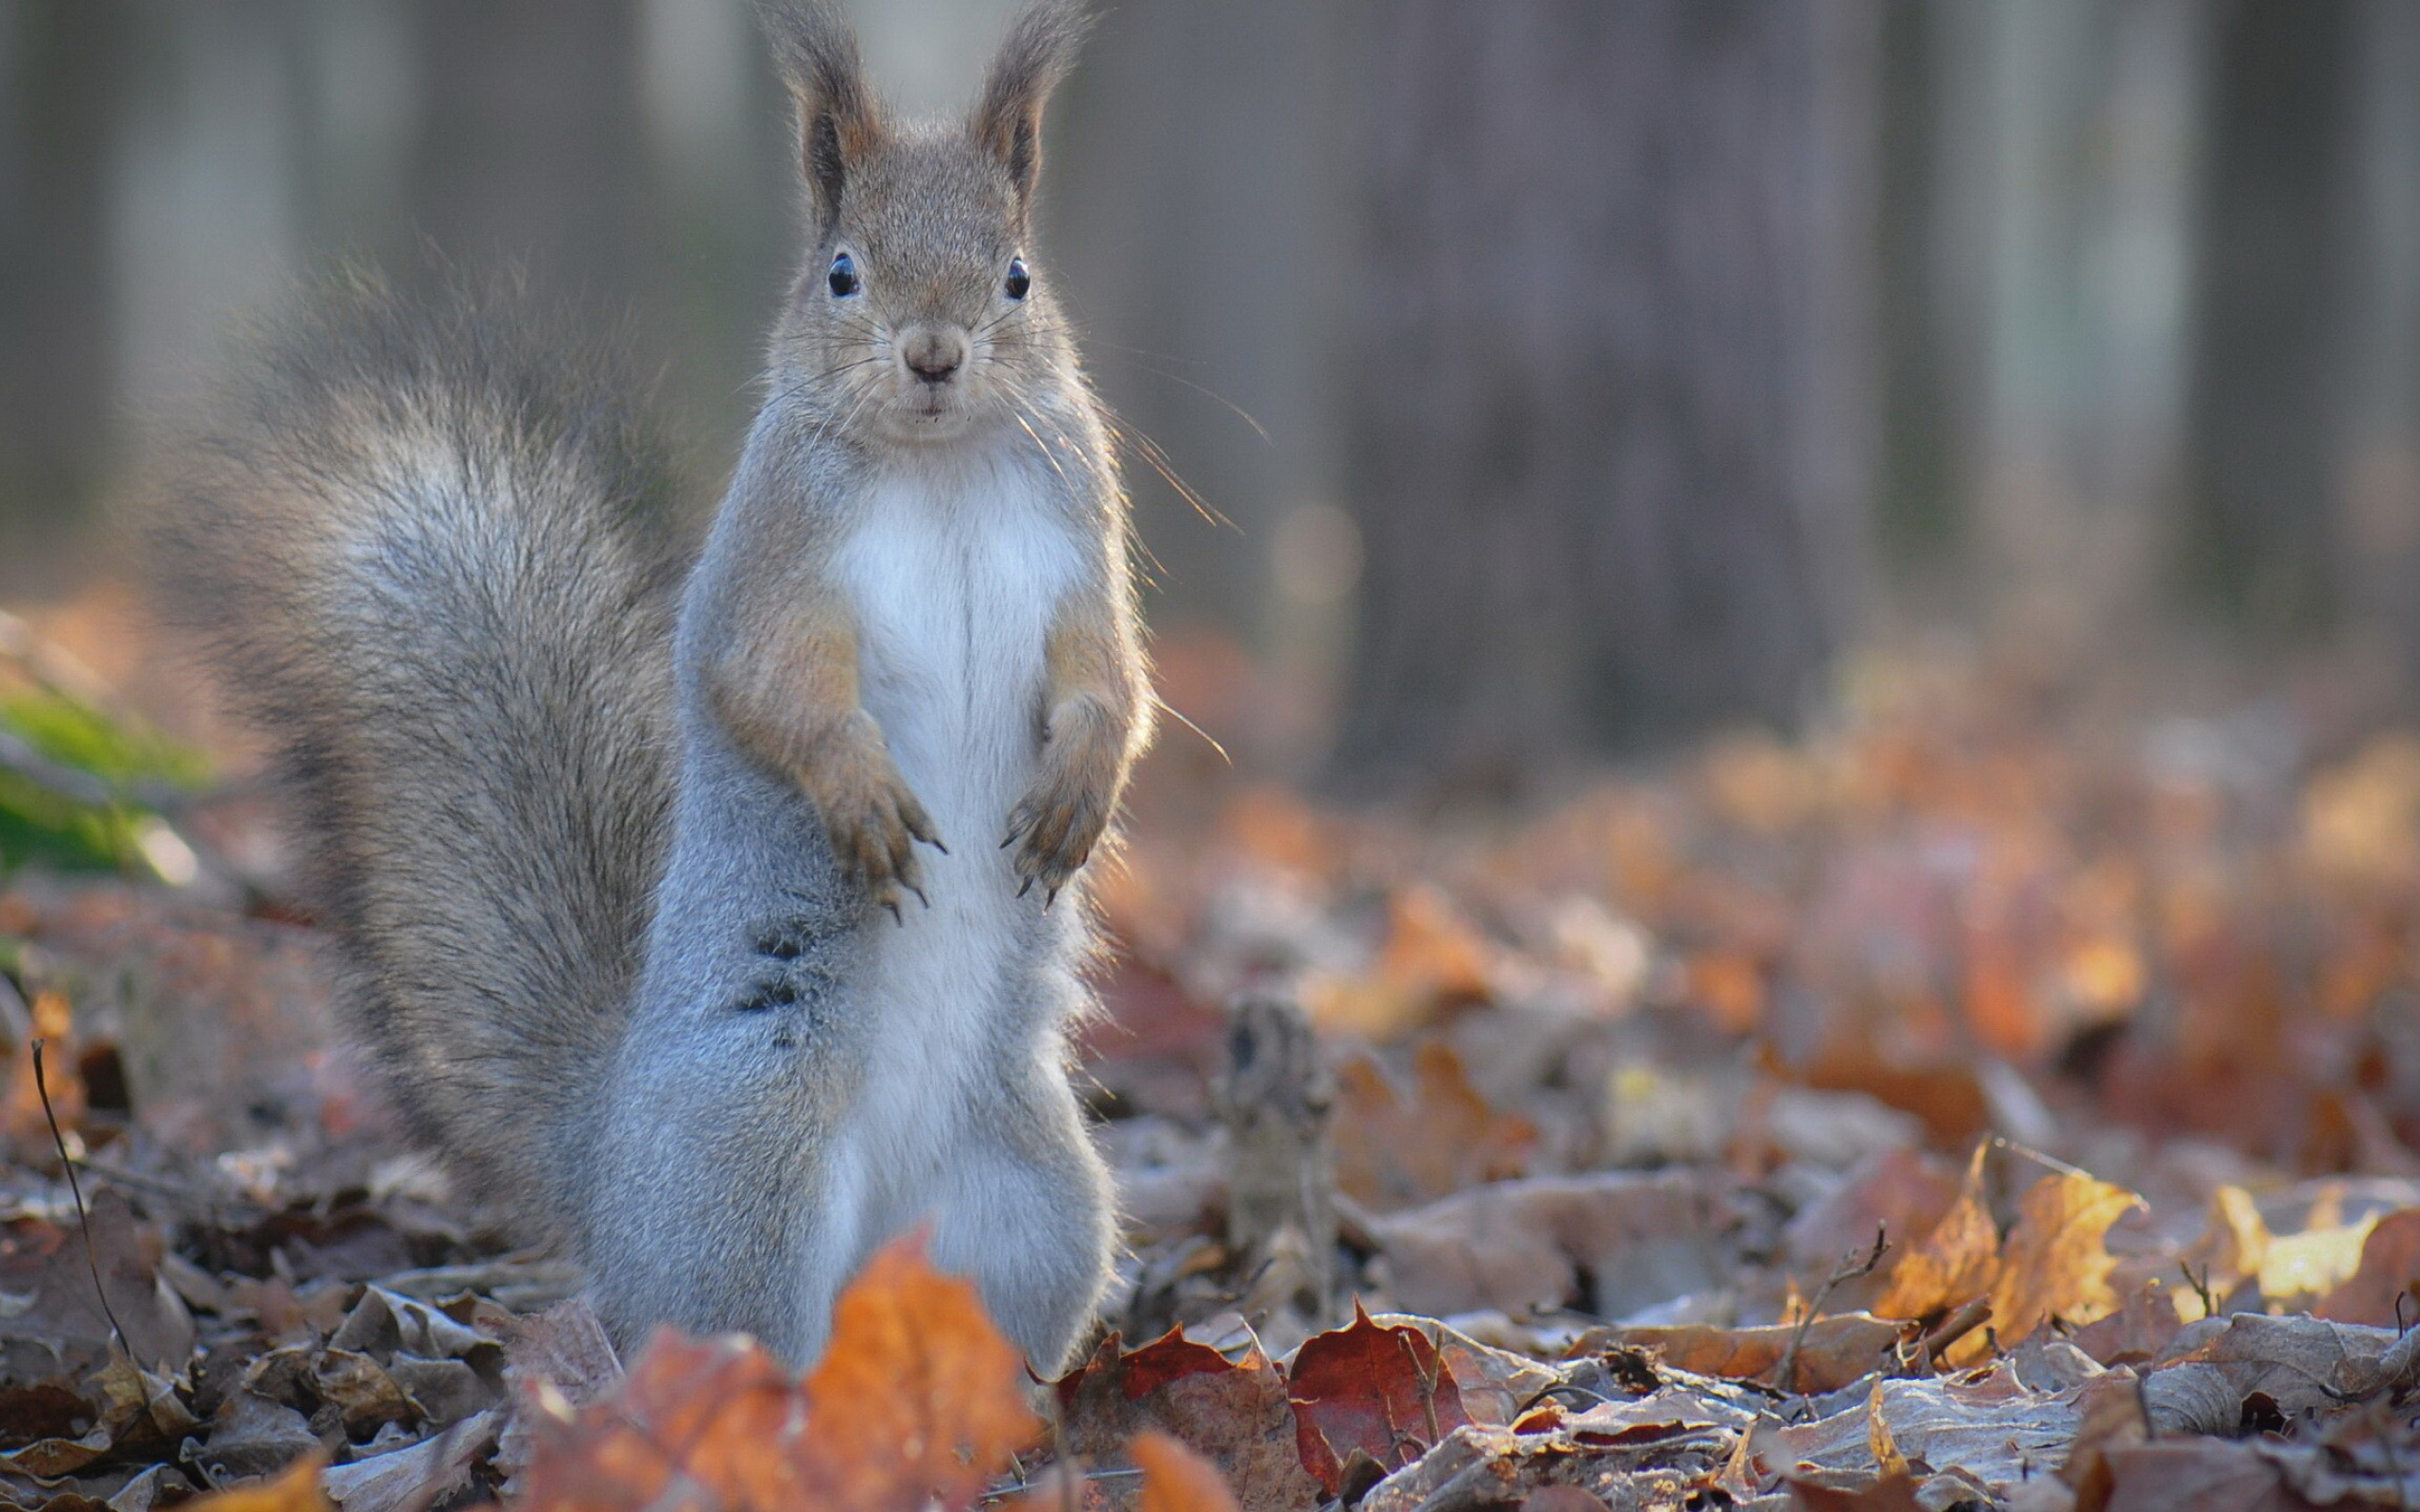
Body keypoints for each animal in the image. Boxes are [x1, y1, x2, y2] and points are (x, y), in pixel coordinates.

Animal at [153, 0, 1151, 1364]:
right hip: (750, 1160)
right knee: (729, 1328)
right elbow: (764, 681)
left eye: (1018, 277)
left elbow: (1114, 678)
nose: (935, 355)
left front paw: (1080, 789)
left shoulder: (1077, 548)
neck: (938, 466)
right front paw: (856, 788)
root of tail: (610, 1159)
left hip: (1039, 1203)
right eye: (842, 272)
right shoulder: (771, 562)